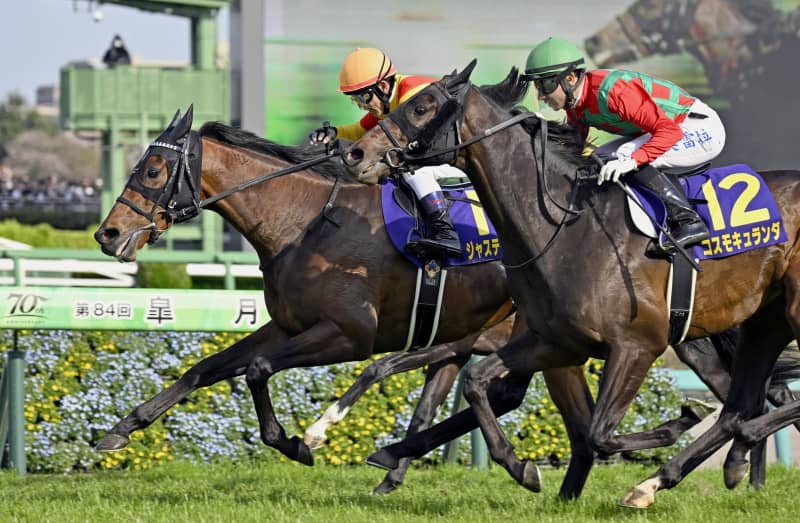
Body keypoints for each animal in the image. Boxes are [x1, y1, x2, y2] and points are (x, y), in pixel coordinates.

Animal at [340, 62, 800, 508]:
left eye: (421, 107)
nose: (356, 152)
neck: (568, 228)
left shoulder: (637, 344)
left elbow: (600, 434)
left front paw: (678, 422)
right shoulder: (557, 341)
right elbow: (479, 385)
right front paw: (522, 469)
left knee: (750, 407)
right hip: (764, 322)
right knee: (742, 406)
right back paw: (713, 468)